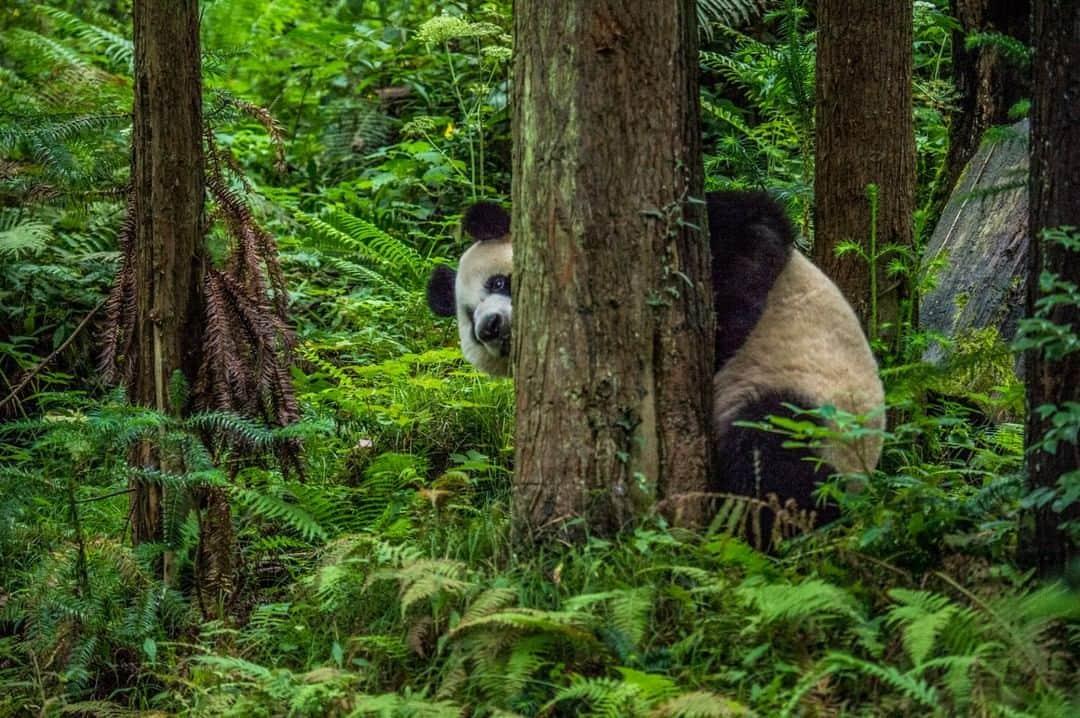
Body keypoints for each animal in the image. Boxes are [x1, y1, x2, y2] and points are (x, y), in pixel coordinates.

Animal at [425, 190, 881, 537]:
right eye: (469, 320)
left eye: (498, 282)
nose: (490, 326)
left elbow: (756, 228)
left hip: (823, 410)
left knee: (771, 450)